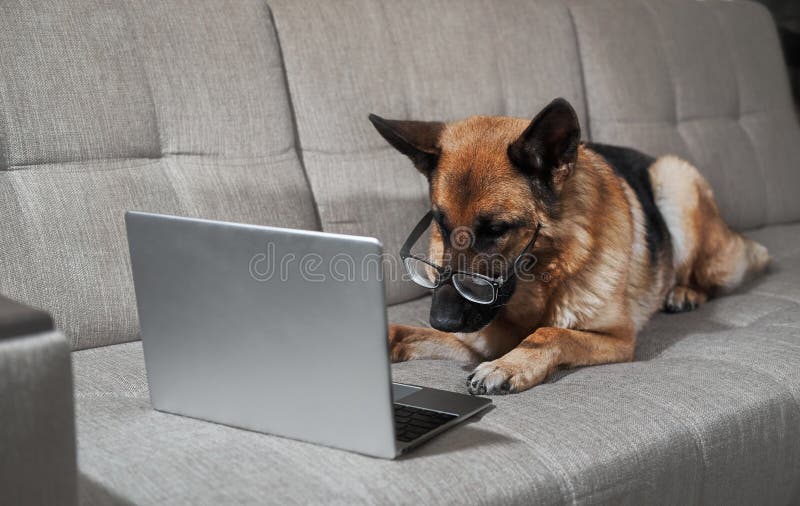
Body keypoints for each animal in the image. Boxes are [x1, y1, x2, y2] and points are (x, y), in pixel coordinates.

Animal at [368, 97, 768, 394]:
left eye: (497, 229)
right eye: (441, 224)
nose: (443, 320)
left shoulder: (617, 339)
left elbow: (551, 332)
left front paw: (508, 365)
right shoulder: (477, 338)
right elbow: (402, 331)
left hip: (675, 179)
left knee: (709, 275)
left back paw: (685, 292)